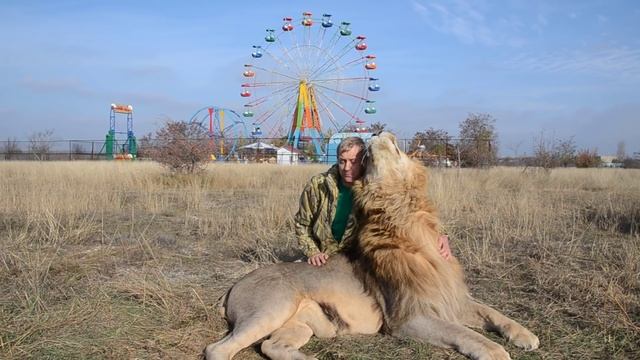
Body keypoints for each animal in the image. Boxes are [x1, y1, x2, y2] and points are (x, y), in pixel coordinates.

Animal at [204, 132, 536, 360]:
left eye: (396, 147)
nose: (378, 131)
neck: (406, 220)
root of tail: (234, 285)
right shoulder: (406, 318)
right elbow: (463, 332)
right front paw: (496, 351)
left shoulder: (448, 297)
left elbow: (493, 312)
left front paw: (526, 335)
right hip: (273, 306)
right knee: (217, 350)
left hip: (298, 323)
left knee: (271, 345)